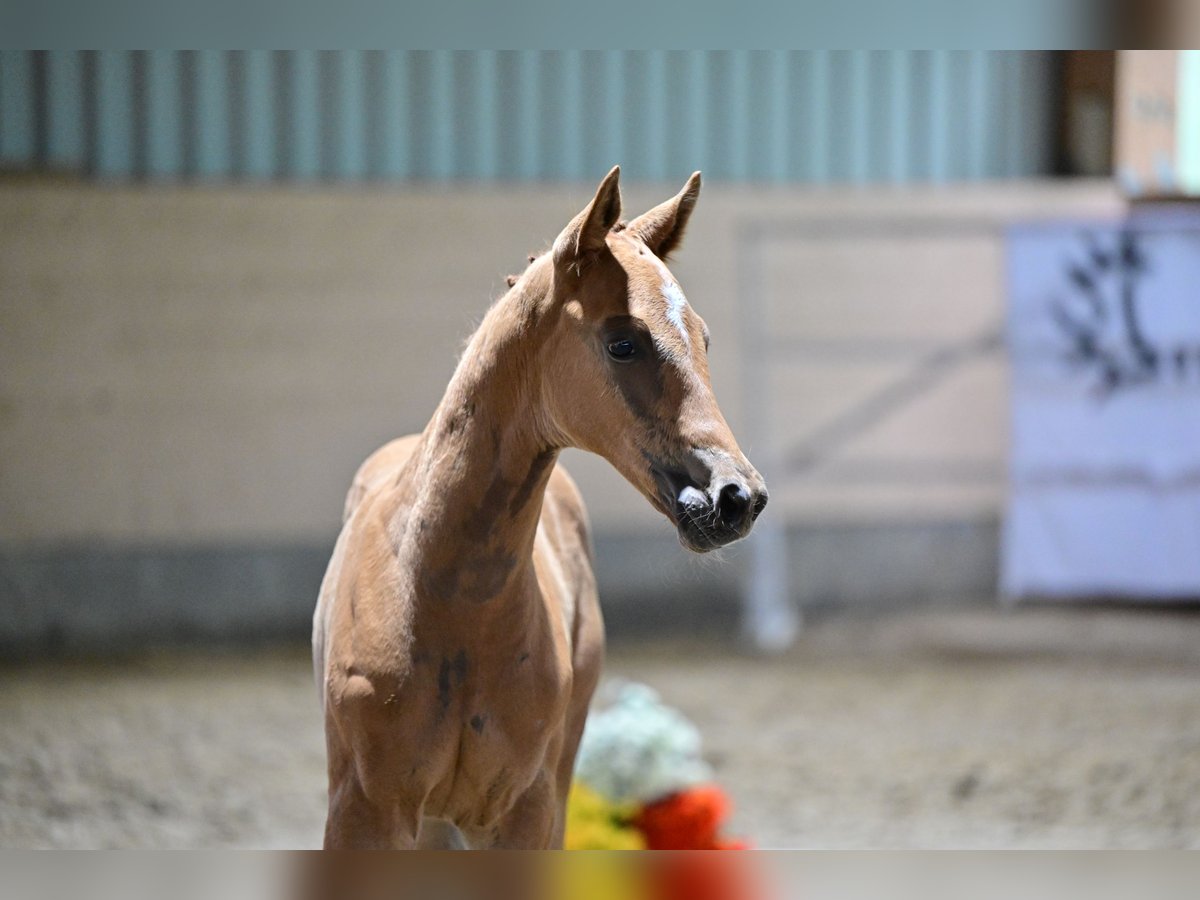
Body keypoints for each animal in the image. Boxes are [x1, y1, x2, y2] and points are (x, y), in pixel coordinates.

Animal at [312, 169, 768, 854]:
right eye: (624, 343)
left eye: (704, 338)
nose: (738, 498)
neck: (444, 600)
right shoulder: (362, 809)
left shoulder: (523, 809)